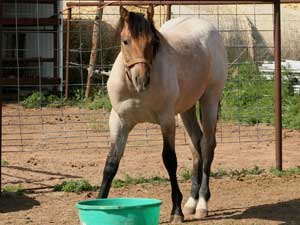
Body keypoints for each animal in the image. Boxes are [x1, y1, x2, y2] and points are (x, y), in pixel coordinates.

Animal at [98, 5, 227, 223]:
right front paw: (99, 202)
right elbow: (111, 164)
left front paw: (176, 211)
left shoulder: (166, 120)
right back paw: (191, 202)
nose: (141, 79)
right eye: (125, 41)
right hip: (186, 109)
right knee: (196, 145)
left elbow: (169, 160)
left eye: (152, 42)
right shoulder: (119, 121)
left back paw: (202, 203)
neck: (136, 91)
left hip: (209, 100)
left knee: (207, 145)